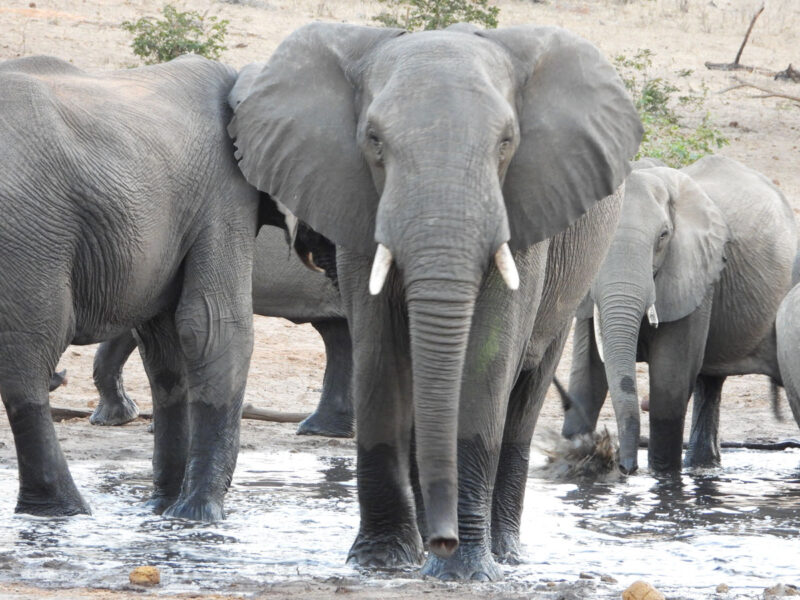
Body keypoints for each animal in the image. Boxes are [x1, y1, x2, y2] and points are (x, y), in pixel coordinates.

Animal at [0, 55, 268, 520]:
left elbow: (166, 344)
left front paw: (162, 510)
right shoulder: (226, 194)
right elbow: (213, 325)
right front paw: (198, 518)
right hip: (29, 229)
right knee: (30, 353)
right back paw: (63, 511)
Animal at [228, 23, 641, 579]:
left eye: (507, 142)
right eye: (374, 141)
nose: (445, 541)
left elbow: (485, 364)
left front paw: (465, 573)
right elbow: (379, 351)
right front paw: (379, 565)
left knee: (524, 397)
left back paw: (503, 555)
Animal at [561, 155, 798, 474]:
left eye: (663, 236)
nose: (626, 469)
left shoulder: (695, 272)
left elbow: (668, 391)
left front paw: (661, 476)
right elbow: (586, 382)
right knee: (709, 384)